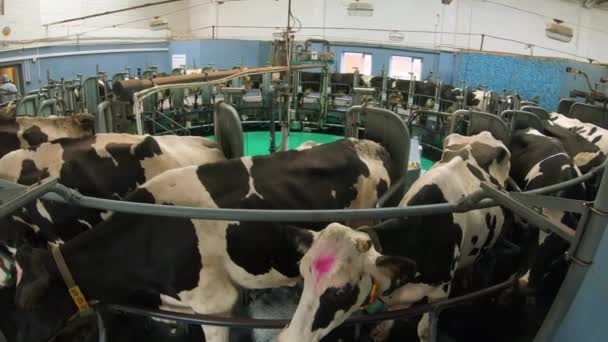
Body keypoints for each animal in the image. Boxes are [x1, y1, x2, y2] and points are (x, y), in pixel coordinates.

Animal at [282, 132, 512, 342]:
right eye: (303, 274)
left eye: (340, 292)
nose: (288, 338)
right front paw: (382, 330)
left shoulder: (439, 297)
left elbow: (424, 331)